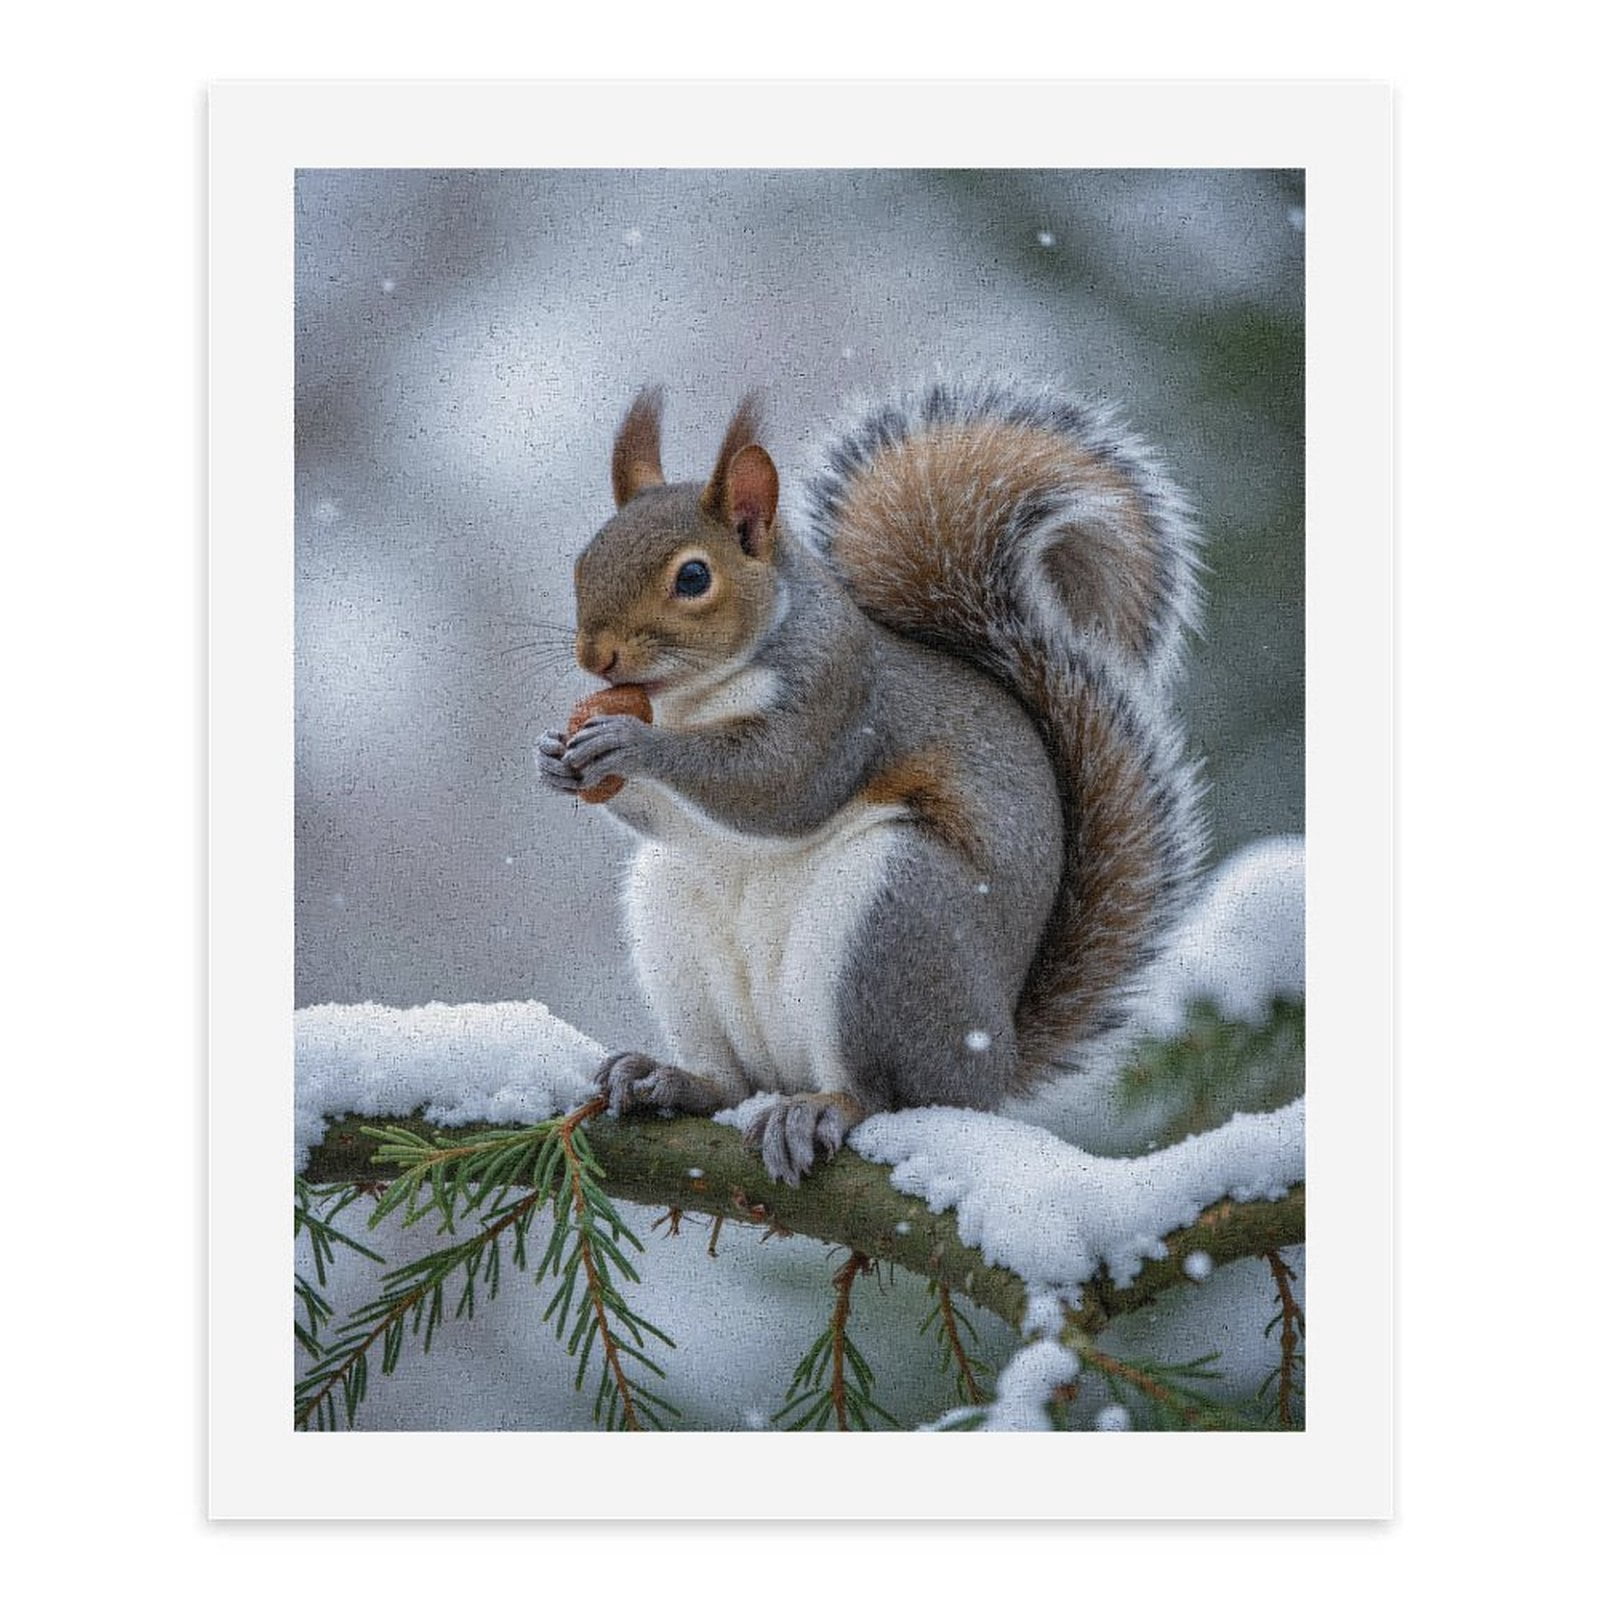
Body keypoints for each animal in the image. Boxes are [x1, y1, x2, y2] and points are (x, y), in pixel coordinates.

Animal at [537, 379, 1204, 1184]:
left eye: (693, 577)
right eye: (581, 560)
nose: (595, 656)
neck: (695, 697)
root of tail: (993, 1071)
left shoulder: (838, 705)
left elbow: (775, 785)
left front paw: (634, 743)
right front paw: (552, 755)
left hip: (891, 916)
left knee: (882, 1095)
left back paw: (818, 1111)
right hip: (669, 916)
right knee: (731, 1083)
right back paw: (669, 1077)